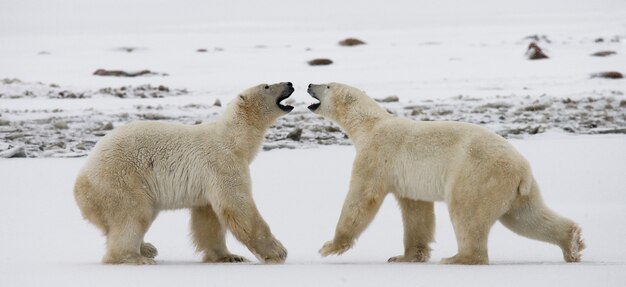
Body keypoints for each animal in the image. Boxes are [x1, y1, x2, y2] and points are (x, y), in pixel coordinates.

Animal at [73, 82, 294, 264]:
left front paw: (229, 256)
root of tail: (80, 182)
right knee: (133, 214)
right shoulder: (222, 164)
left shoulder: (208, 181)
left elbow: (209, 218)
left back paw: (146, 248)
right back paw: (135, 257)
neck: (234, 140)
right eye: (266, 86)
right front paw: (278, 252)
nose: (289, 83)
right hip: (121, 179)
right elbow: (238, 206)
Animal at [308, 82, 584, 266]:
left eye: (328, 85)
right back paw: (572, 243)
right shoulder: (408, 178)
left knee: (467, 213)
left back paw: (459, 258)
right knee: (527, 217)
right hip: (517, 190)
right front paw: (405, 256)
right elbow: (416, 211)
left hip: (478, 174)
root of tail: (521, 169)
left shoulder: (376, 155)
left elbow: (362, 197)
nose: (310, 84)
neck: (369, 124)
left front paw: (330, 246)